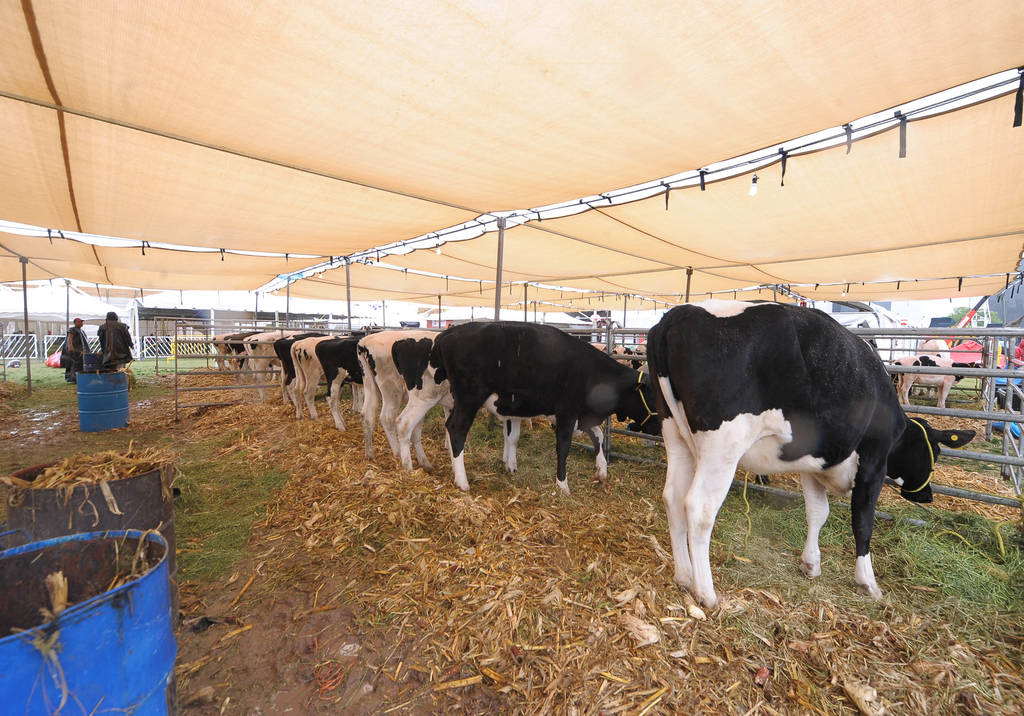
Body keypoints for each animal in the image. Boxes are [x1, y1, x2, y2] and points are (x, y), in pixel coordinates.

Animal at [428, 323, 659, 493]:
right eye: (654, 397)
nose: (658, 430)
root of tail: (447, 334)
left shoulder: (579, 415)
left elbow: (599, 436)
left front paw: (601, 470)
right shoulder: (567, 412)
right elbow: (564, 447)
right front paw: (562, 485)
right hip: (469, 398)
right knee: (457, 429)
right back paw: (462, 481)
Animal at [647, 299, 974, 606]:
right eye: (934, 453)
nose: (927, 496)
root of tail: (681, 312)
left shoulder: (812, 464)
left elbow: (818, 511)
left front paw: (811, 563)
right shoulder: (873, 462)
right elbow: (863, 520)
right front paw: (867, 582)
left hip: (675, 433)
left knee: (673, 496)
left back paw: (684, 576)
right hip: (723, 445)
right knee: (699, 507)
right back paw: (706, 592)